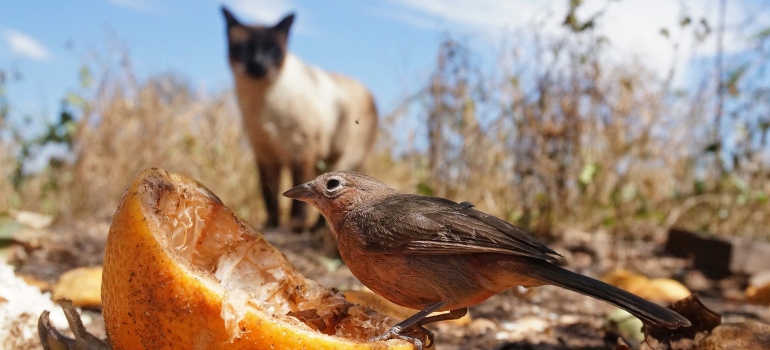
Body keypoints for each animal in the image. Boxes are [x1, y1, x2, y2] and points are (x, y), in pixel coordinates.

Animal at [220, 6, 376, 232]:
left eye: (272, 50)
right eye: (244, 49)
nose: (259, 64)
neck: (262, 100)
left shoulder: (301, 153)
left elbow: (297, 200)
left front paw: (295, 226)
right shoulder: (265, 154)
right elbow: (269, 194)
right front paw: (272, 224)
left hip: (343, 157)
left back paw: (316, 229)